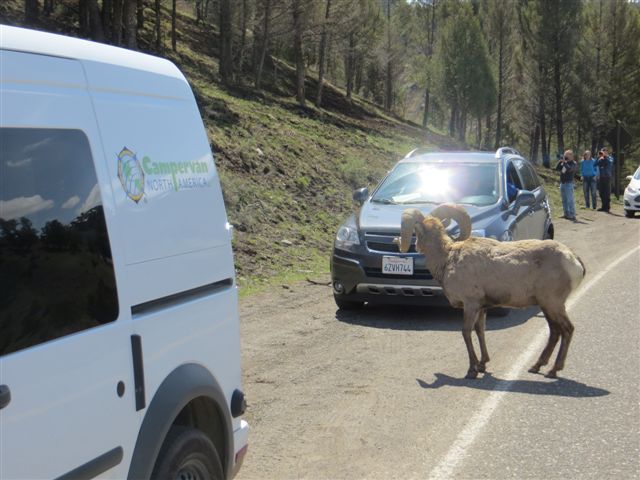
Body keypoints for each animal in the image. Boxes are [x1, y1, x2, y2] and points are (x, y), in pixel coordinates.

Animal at [400, 202, 584, 378]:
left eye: (417, 232)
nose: (415, 247)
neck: (447, 259)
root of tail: (573, 260)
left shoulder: (471, 305)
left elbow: (466, 332)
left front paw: (472, 371)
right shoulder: (482, 308)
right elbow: (480, 332)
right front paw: (482, 365)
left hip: (553, 304)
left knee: (567, 329)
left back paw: (553, 370)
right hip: (547, 306)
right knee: (555, 332)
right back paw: (536, 366)